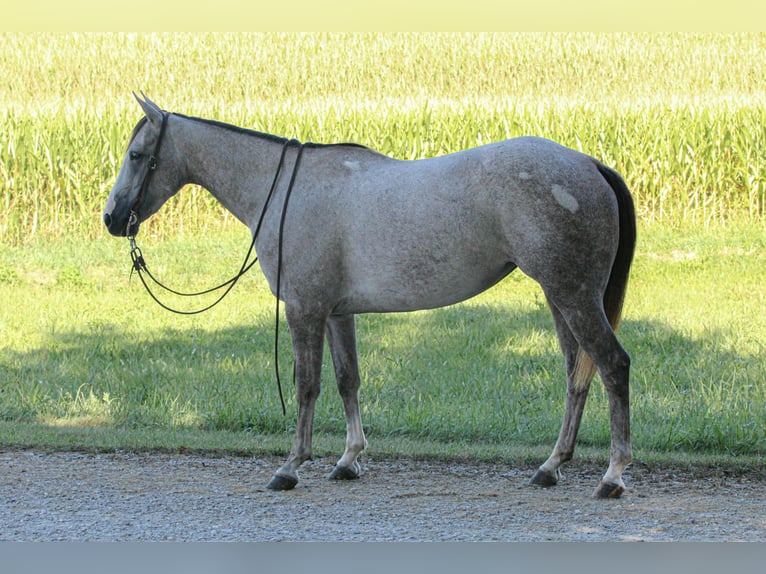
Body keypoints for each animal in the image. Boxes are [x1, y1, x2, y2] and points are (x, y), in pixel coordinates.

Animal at [103, 94, 636, 498]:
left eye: (136, 155)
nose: (110, 218)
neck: (289, 192)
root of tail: (590, 164)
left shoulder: (305, 309)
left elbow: (307, 385)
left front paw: (290, 467)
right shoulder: (337, 313)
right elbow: (348, 381)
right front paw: (348, 460)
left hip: (573, 295)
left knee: (612, 365)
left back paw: (612, 476)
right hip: (561, 297)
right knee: (577, 375)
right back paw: (551, 466)